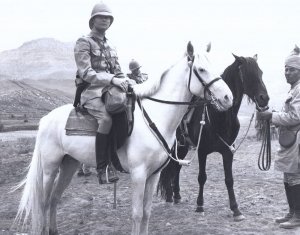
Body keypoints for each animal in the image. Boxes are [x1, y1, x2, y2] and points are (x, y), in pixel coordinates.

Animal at [14, 41, 233, 234]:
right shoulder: (138, 174)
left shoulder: (153, 175)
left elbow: (146, 212)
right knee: (43, 202)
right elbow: (137, 214)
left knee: (54, 199)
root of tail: (45, 119)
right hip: (50, 168)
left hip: (69, 164)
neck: (157, 116)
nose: (227, 98)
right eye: (202, 69)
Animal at [159, 54, 270, 221]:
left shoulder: (228, 151)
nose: (264, 99)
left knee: (177, 167)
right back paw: (170, 196)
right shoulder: (202, 151)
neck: (220, 116)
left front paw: (236, 210)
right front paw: (199, 206)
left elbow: (229, 180)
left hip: (183, 147)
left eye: (261, 73)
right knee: (171, 167)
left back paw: (177, 195)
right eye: (248, 74)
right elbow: (202, 177)